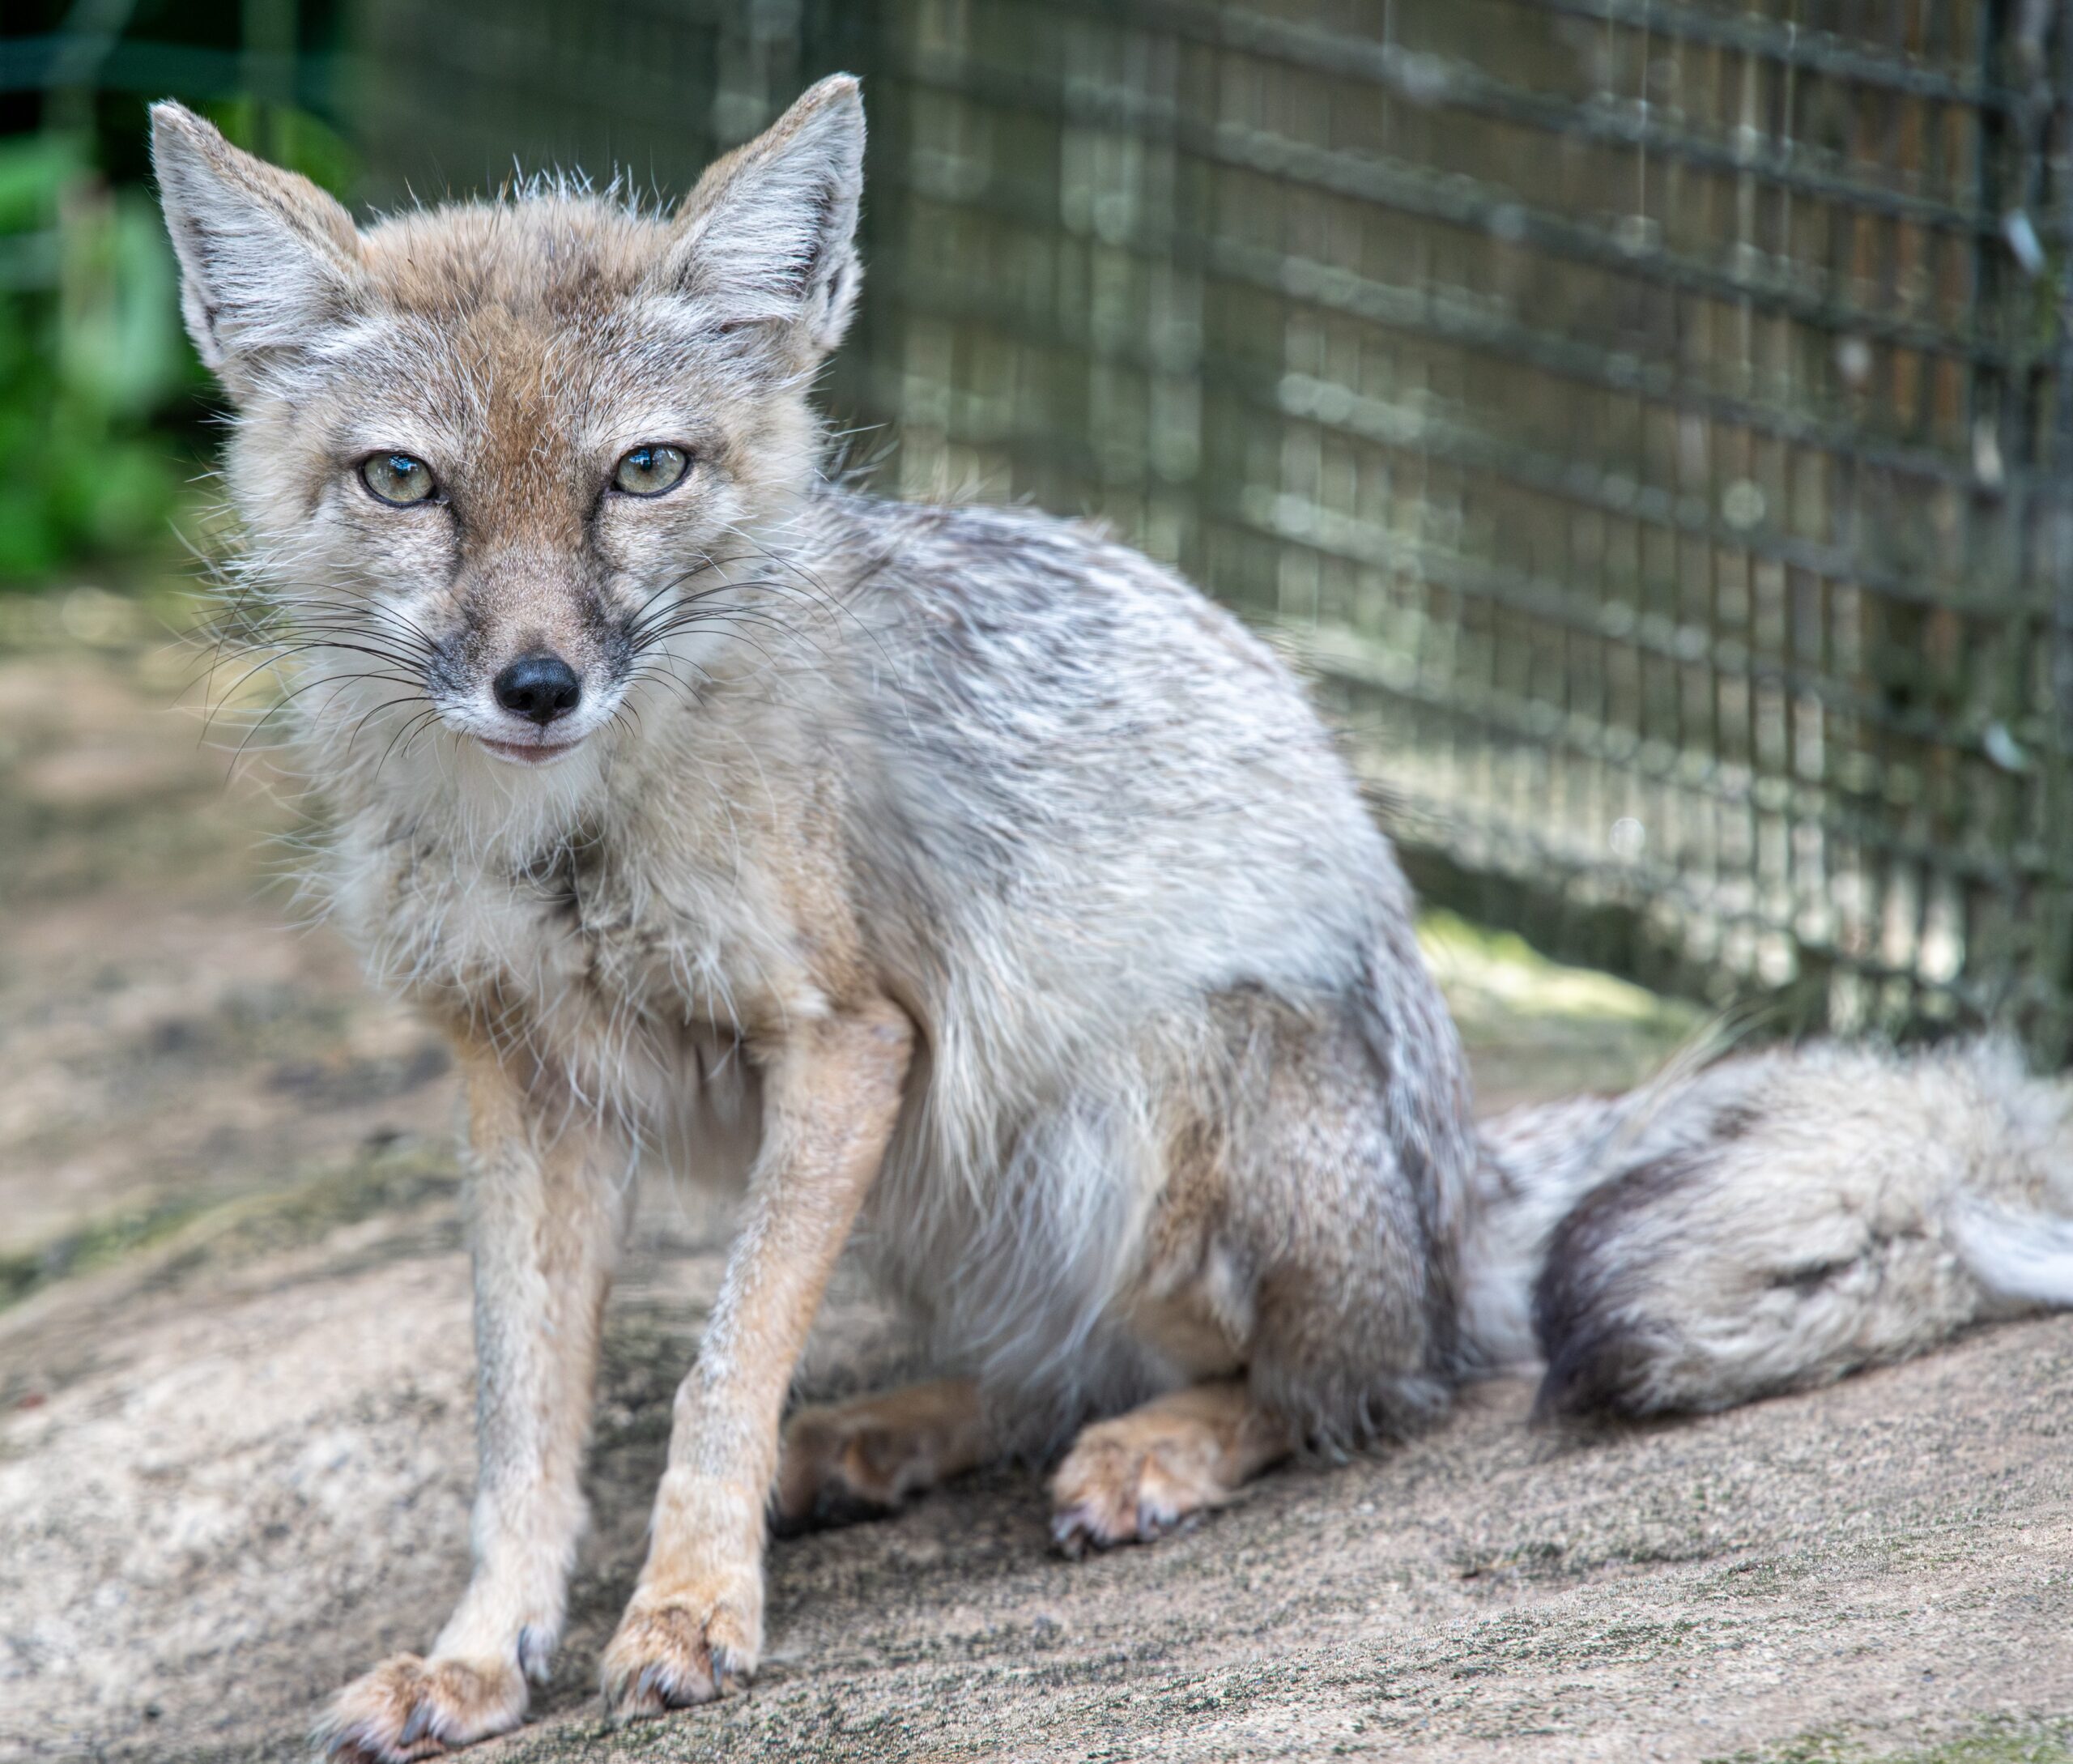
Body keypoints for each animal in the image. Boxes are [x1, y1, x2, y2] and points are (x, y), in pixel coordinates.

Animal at [147, 77, 2073, 1764]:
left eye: (643, 472)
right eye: (408, 483)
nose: (537, 685)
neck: (566, 841)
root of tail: (1455, 1186)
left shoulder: (844, 1041)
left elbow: (716, 1365)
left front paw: (688, 1608)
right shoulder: (523, 1081)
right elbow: (521, 1418)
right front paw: (487, 1652)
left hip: (1123, 1095)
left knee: (1353, 1391)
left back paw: (1154, 1453)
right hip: (953, 1178)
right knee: (1054, 1368)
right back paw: (887, 1436)